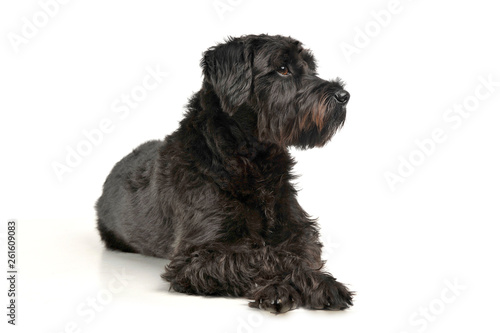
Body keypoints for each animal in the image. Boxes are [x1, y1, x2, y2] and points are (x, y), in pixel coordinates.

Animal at [95, 33, 354, 312]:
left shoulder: (299, 230)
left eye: (310, 67)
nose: (344, 95)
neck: (252, 161)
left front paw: (319, 281)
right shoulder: (196, 256)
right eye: (283, 68)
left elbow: (300, 254)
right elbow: (263, 257)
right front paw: (280, 288)